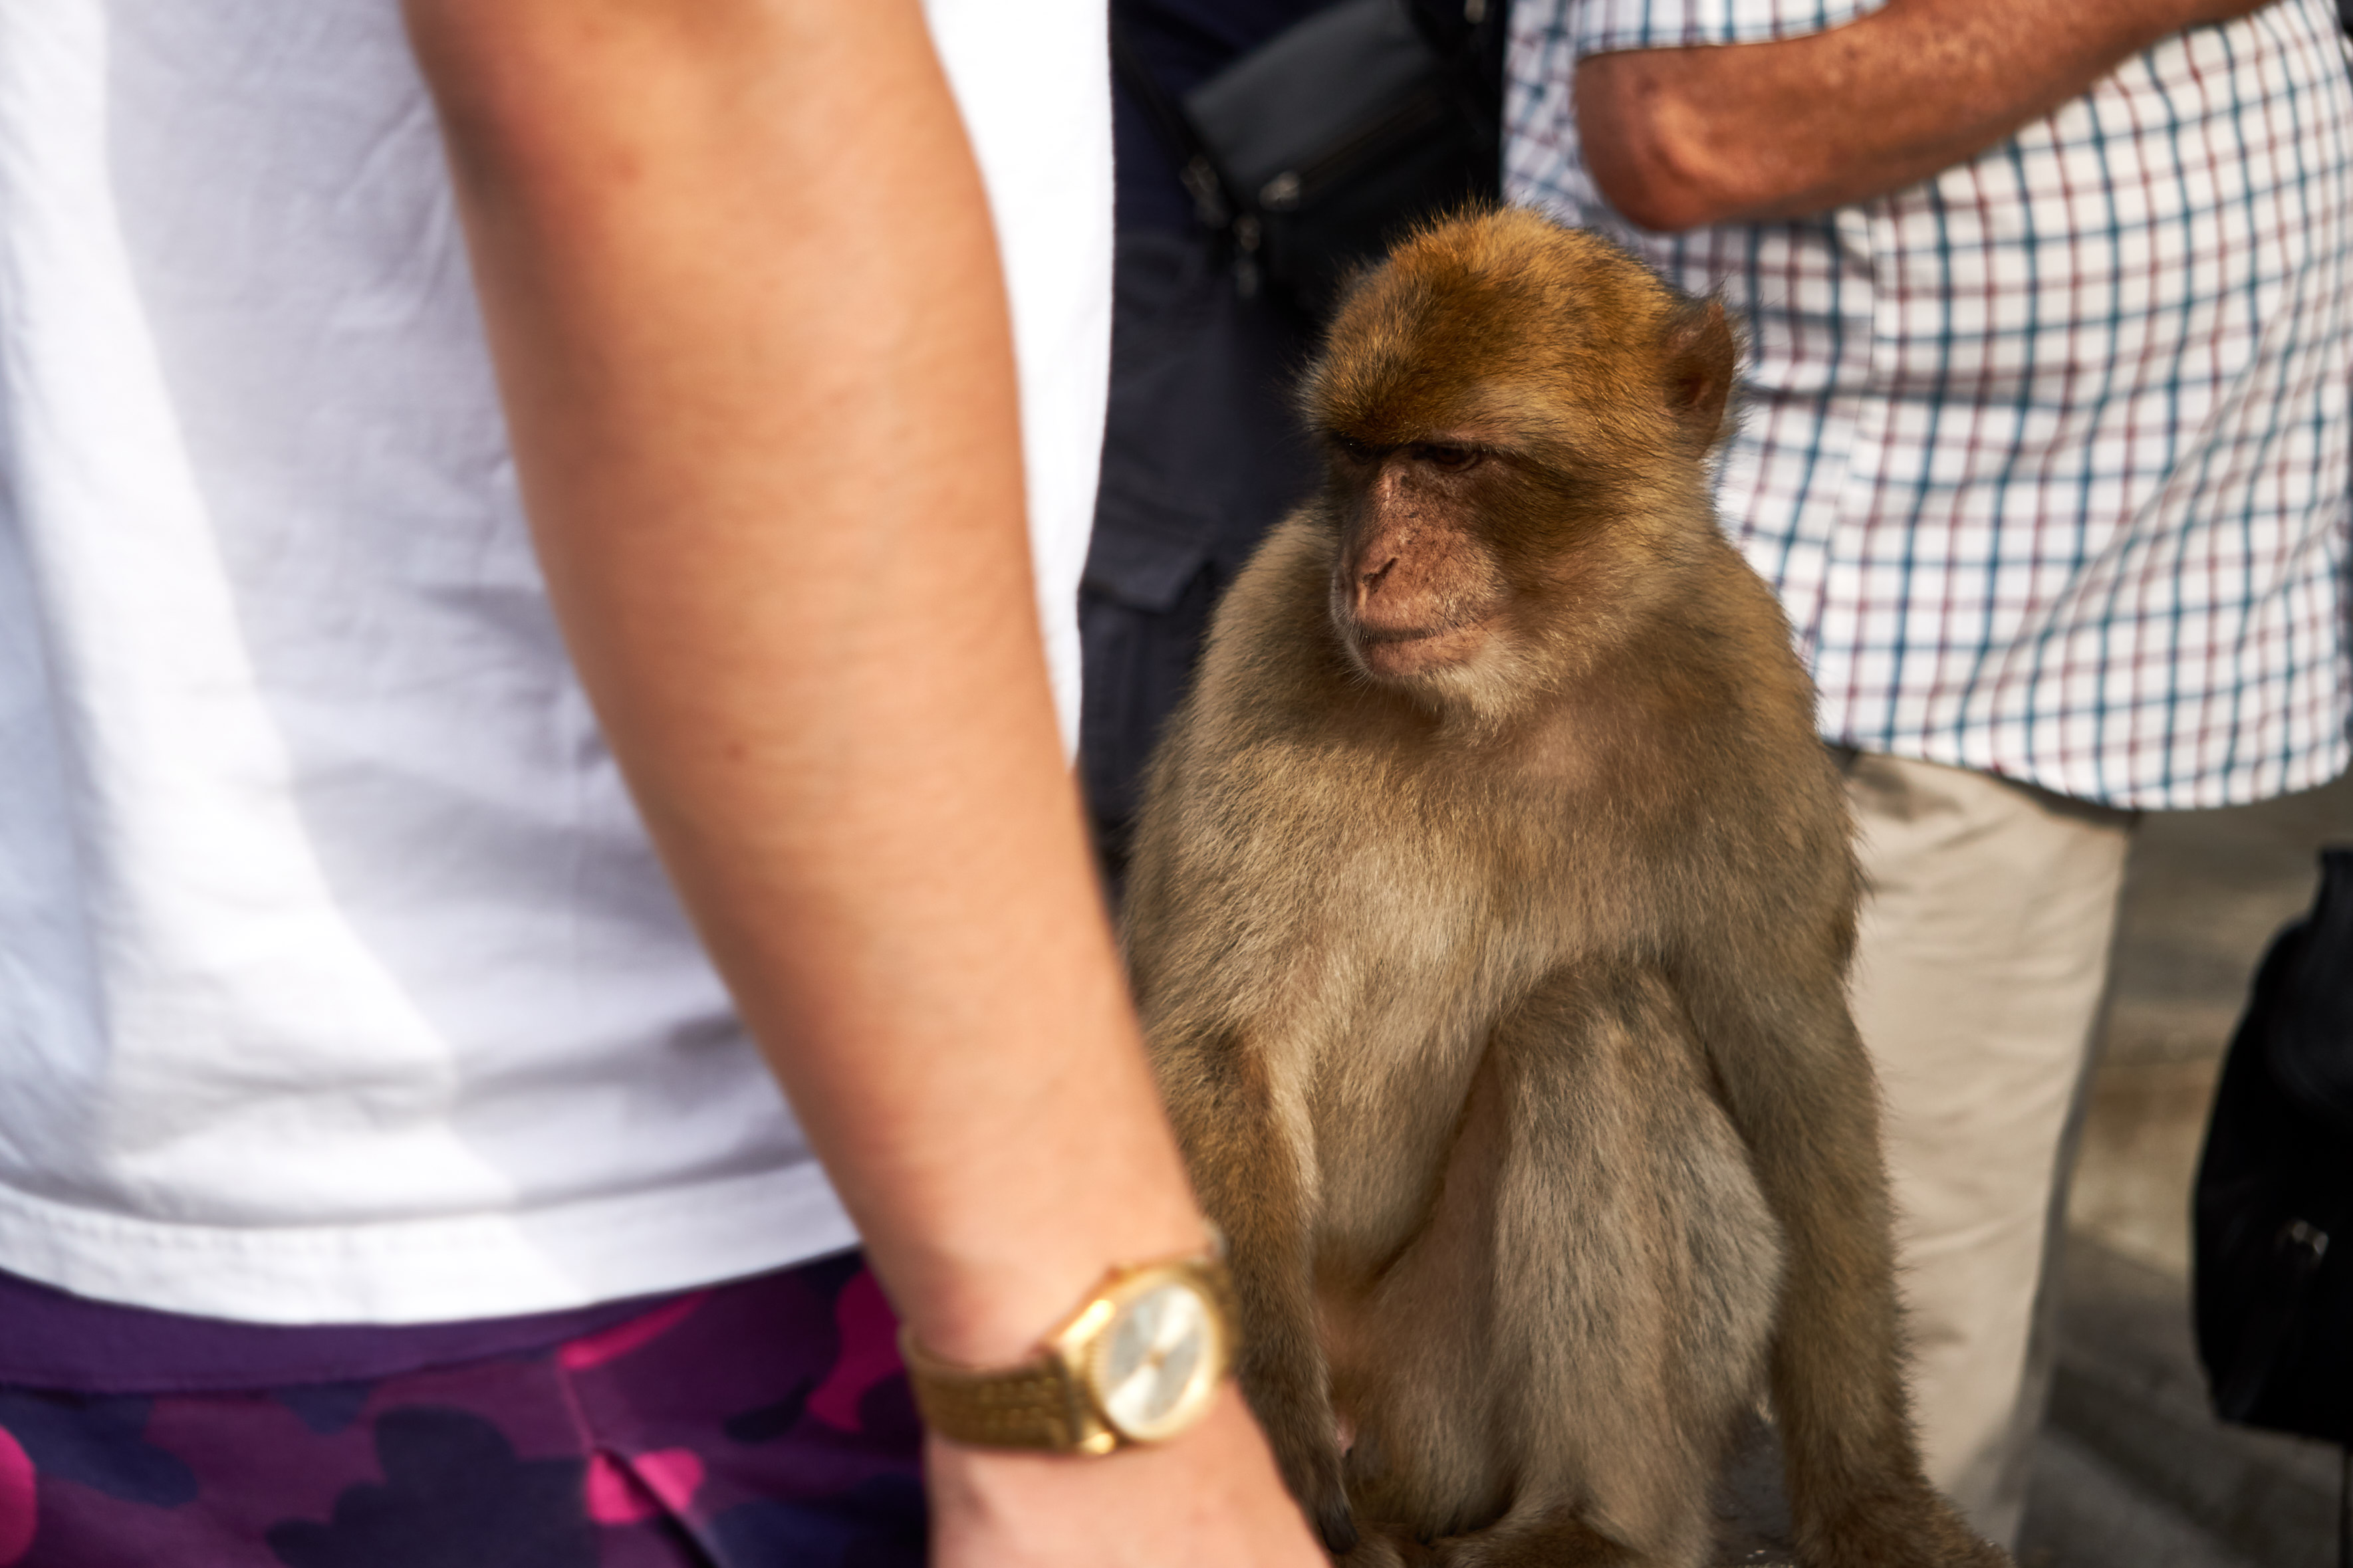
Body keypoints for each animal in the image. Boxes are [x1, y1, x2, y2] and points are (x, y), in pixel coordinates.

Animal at [1120, 211, 2005, 1568]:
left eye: (1448, 458)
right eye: (1358, 458)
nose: (1369, 564)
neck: (1516, 691)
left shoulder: (1744, 689)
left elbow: (1795, 1082)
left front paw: (1871, 1495)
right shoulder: (1268, 627)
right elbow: (1223, 1045)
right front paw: (1267, 1469)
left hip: (1436, 1421)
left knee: (1596, 1018)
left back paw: (1591, 1513)